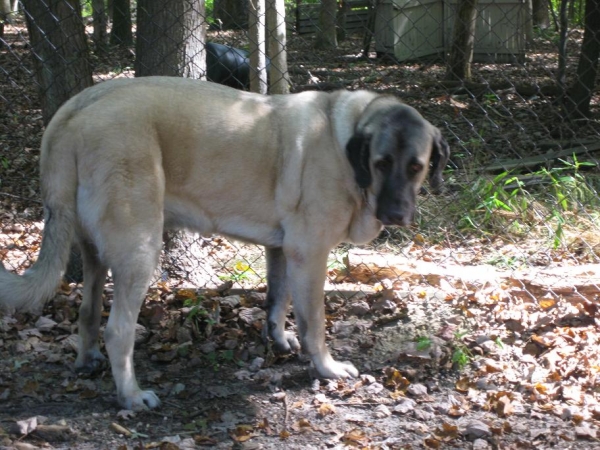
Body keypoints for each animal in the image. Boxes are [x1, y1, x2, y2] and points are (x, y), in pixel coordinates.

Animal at [0, 76, 450, 408]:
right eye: (381, 163)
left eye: (416, 166)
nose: (396, 214)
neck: (347, 142)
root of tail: (74, 111)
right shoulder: (310, 253)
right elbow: (315, 322)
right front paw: (325, 367)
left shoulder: (282, 250)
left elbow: (277, 302)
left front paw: (279, 340)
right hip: (139, 249)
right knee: (119, 330)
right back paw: (131, 396)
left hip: (94, 253)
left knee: (88, 310)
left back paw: (87, 360)